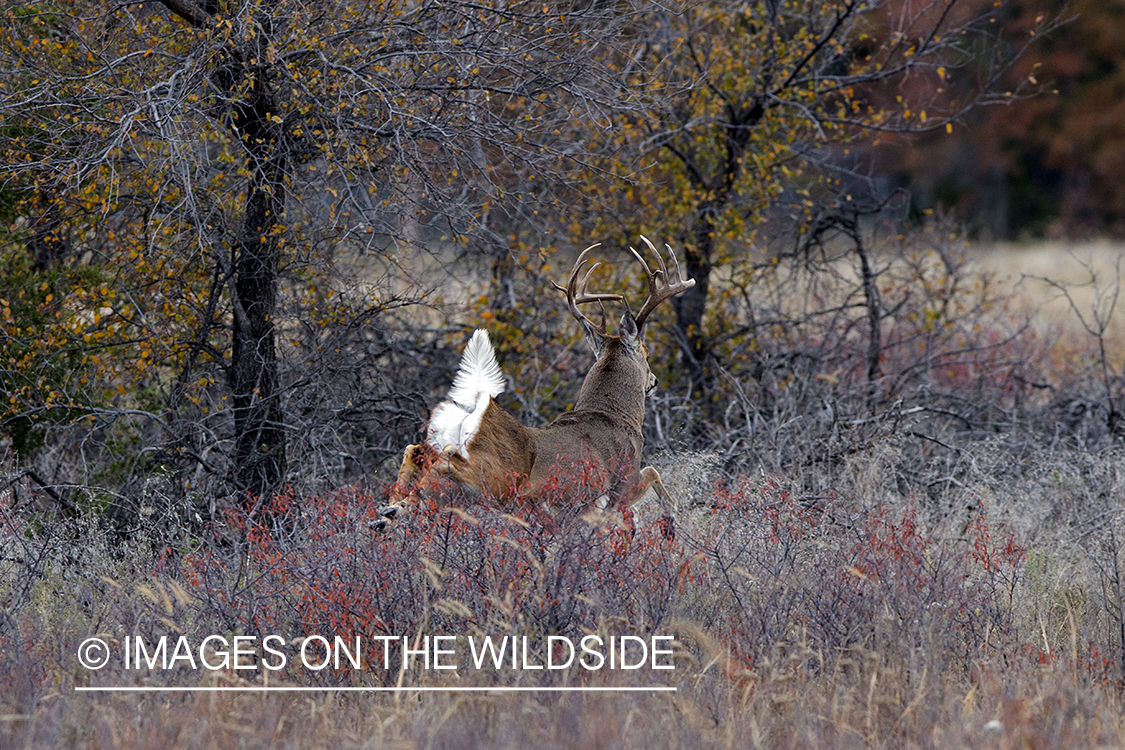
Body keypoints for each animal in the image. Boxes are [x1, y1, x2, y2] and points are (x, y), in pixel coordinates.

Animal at [378, 235, 693, 532]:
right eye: (647, 353)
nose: (653, 380)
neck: (616, 416)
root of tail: (473, 410)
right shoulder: (623, 484)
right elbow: (653, 474)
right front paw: (670, 525)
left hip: (460, 469)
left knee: (414, 450)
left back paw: (390, 510)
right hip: (497, 477)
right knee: (448, 458)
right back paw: (395, 510)